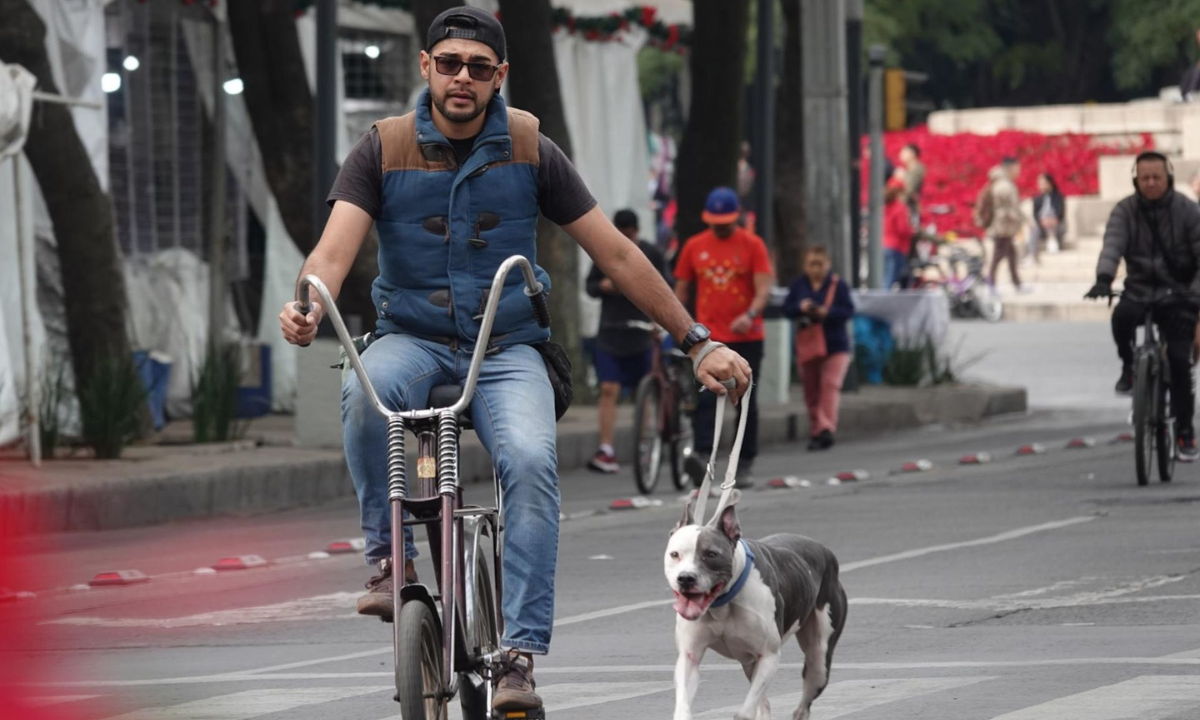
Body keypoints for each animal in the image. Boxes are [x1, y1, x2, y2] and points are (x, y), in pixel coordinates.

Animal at [662, 492, 849, 720]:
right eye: (674, 554)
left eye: (711, 554)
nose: (685, 578)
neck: (722, 604)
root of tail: (824, 549)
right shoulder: (690, 657)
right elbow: (683, 705)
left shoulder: (768, 656)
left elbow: (744, 713)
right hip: (751, 663)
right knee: (765, 703)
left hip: (819, 662)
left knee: (803, 703)